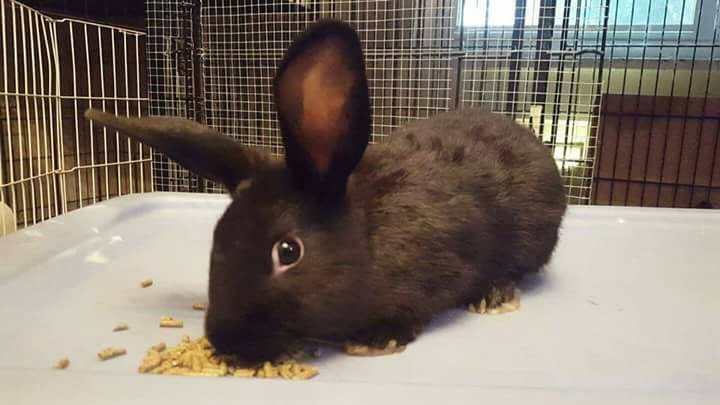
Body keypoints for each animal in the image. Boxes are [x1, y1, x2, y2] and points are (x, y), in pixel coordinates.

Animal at [84, 19, 567, 364]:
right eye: (216, 241)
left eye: (288, 252)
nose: (226, 343)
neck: (366, 240)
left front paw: (377, 339)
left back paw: (493, 295)